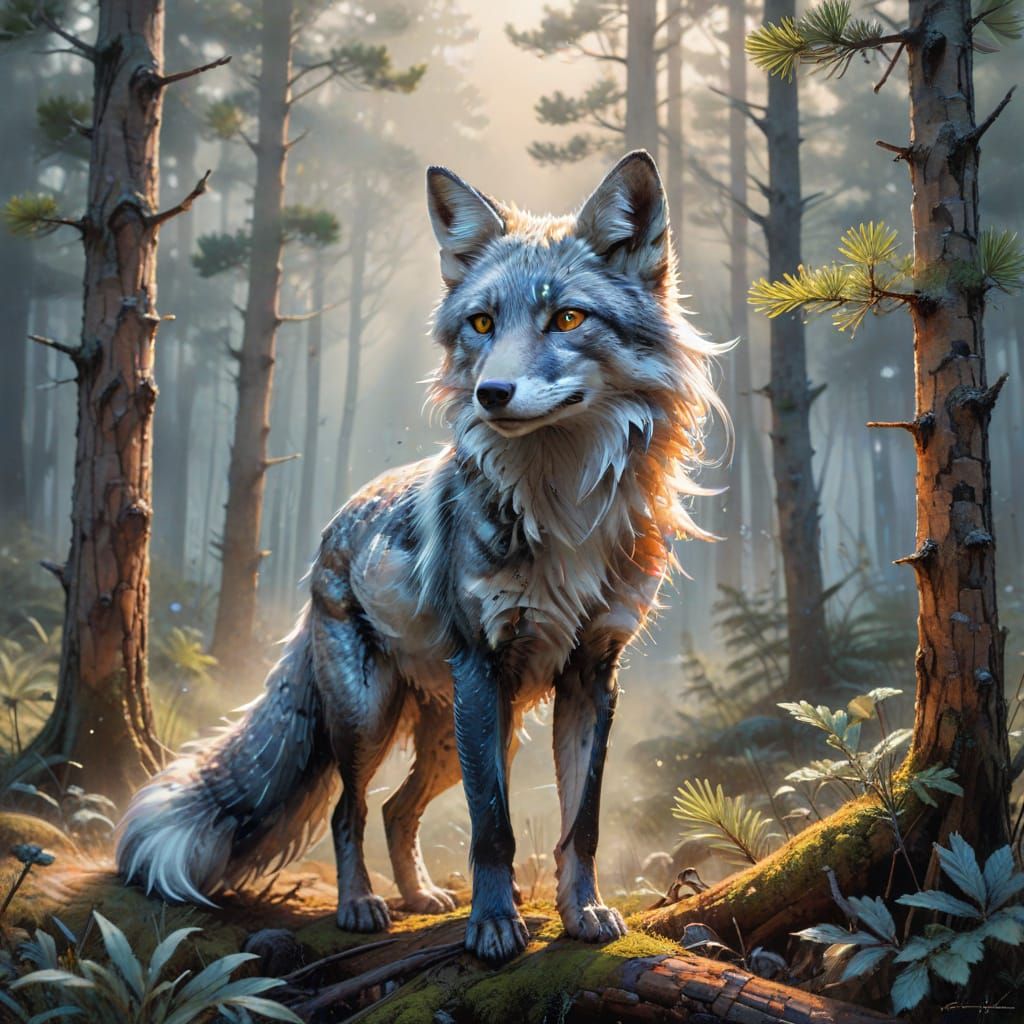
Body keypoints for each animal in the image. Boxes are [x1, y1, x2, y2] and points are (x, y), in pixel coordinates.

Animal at [116, 150, 727, 965]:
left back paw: (419, 897)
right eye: (482, 323)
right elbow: (493, 829)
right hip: (381, 718)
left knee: (397, 811)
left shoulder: (592, 676)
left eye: (567, 318)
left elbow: (582, 826)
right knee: (349, 813)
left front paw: (583, 914)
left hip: (459, 734)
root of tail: (334, 526)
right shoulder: (482, 667)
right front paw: (494, 926)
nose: (491, 392)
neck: (562, 510)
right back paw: (363, 906)